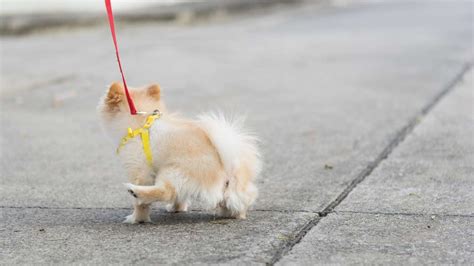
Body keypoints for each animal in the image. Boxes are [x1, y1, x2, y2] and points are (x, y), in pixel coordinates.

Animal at [96, 82, 260, 222]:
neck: (141, 123)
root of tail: (227, 171)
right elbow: (180, 197)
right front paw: (177, 208)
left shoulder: (139, 170)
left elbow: (141, 204)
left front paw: (137, 218)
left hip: (172, 170)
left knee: (166, 191)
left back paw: (136, 191)